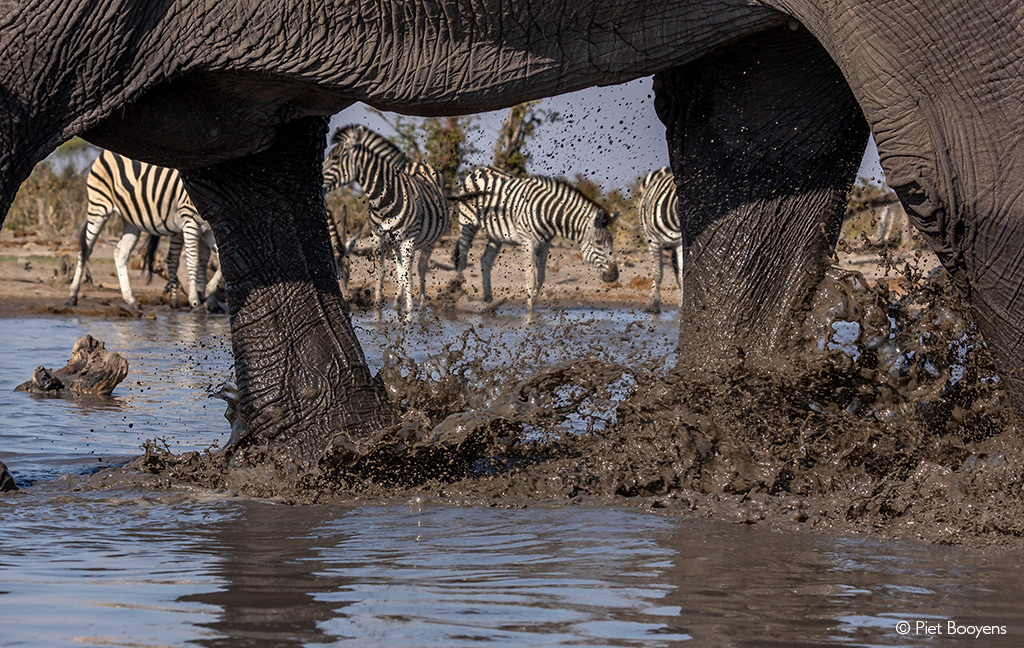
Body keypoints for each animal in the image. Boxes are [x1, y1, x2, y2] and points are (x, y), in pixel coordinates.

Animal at [67, 152, 223, 313]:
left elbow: (219, 261)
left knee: (121, 253)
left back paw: (131, 300)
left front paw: (208, 295)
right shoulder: (190, 220)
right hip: (99, 205)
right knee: (85, 250)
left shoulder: (209, 229)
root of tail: (103, 153)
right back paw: (72, 296)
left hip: (131, 220)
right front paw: (196, 301)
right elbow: (193, 261)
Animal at [319, 124, 448, 313]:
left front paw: (409, 310)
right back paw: (397, 301)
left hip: (429, 241)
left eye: (335, 158)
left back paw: (421, 302)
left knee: (420, 267)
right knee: (401, 269)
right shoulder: (377, 238)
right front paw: (378, 306)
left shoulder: (408, 239)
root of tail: (417, 163)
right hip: (396, 244)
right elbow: (382, 272)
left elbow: (408, 275)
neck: (384, 202)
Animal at [452, 165, 618, 309]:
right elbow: (531, 279)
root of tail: (479, 169)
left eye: (612, 241)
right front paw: (528, 315)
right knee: (463, 257)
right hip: (467, 221)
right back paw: (455, 294)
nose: (614, 275)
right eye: (598, 242)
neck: (548, 213)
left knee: (486, 261)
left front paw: (533, 312)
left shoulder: (545, 244)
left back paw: (488, 300)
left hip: (496, 234)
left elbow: (541, 278)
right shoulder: (528, 243)